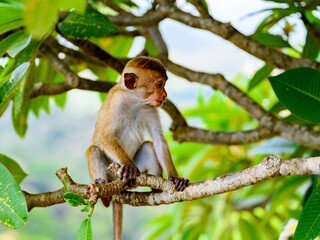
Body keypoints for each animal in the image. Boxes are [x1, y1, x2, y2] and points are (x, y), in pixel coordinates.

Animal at [86, 55, 189, 240]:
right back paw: (103, 191)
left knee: (148, 146)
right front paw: (128, 166)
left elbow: (158, 140)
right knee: (94, 149)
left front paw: (175, 178)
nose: (165, 95)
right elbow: (104, 136)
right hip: (111, 175)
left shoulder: (149, 107)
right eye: (159, 84)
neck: (133, 100)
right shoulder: (116, 102)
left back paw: (155, 189)